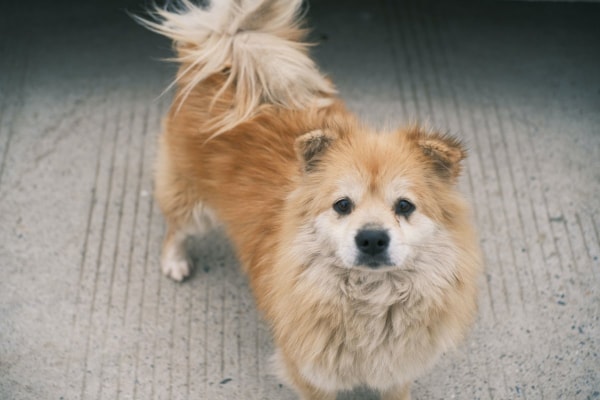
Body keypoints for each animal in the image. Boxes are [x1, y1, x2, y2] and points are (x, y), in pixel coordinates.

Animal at [137, 1, 482, 398]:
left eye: (405, 206)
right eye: (342, 205)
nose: (372, 239)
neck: (370, 300)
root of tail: (227, 61)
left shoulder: (396, 372)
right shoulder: (311, 375)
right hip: (194, 205)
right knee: (175, 228)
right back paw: (175, 262)